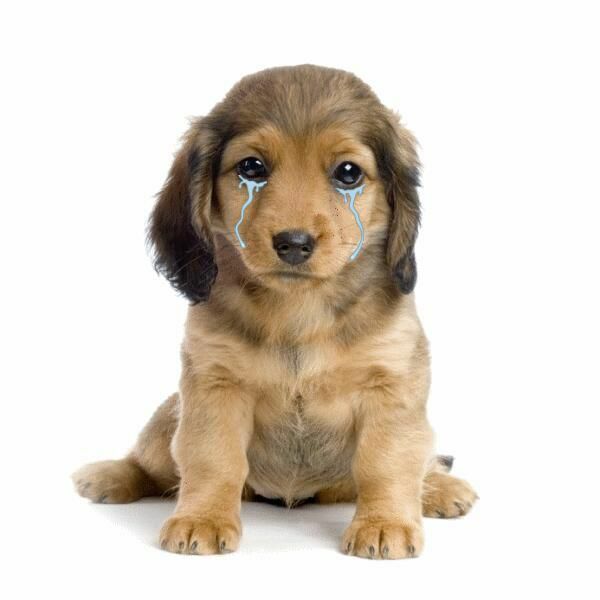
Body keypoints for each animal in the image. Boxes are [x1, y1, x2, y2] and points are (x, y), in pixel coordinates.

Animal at [72, 64, 477, 559]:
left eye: (348, 173)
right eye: (252, 167)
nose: (294, 243)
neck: (299, 313)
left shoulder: (393, 385)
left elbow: (387, 461)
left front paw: (384, 524)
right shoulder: (214, 385)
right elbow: (213, 459)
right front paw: (203, 518)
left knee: (420, 459)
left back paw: (439, 488)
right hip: (168, 420)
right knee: (149, 464)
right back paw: (111, 475)